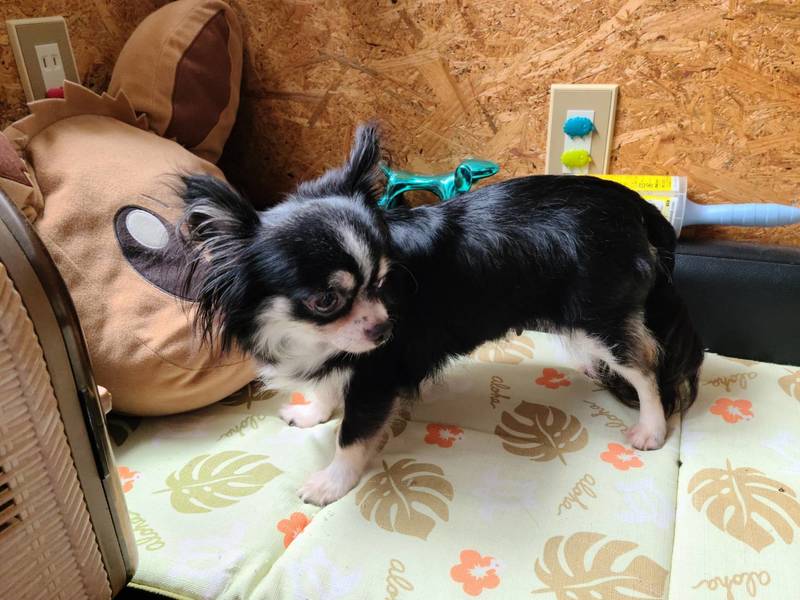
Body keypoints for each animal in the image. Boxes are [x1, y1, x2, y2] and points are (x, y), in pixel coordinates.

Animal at [179, 123, 704, 506]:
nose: (385, 327)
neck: (312, 338)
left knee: (647, 367)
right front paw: (314, 413)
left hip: (599, 318)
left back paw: (652, 429)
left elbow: (353, 434)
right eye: (326, 301)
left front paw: (332, 482)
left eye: (383, 281)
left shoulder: (376, 376)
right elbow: (328, 388)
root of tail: (634, 204)